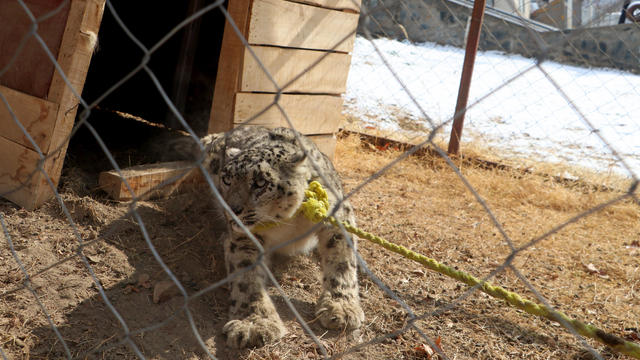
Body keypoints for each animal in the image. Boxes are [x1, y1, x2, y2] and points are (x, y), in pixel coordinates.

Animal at [188, 126, 362, 348]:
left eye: (260, 182)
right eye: (226, 179)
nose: (231, 209)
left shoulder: (337, 216)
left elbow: (342, 262)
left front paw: (341, 308)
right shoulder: (246, 237)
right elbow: (247, 277)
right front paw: (253, 323)